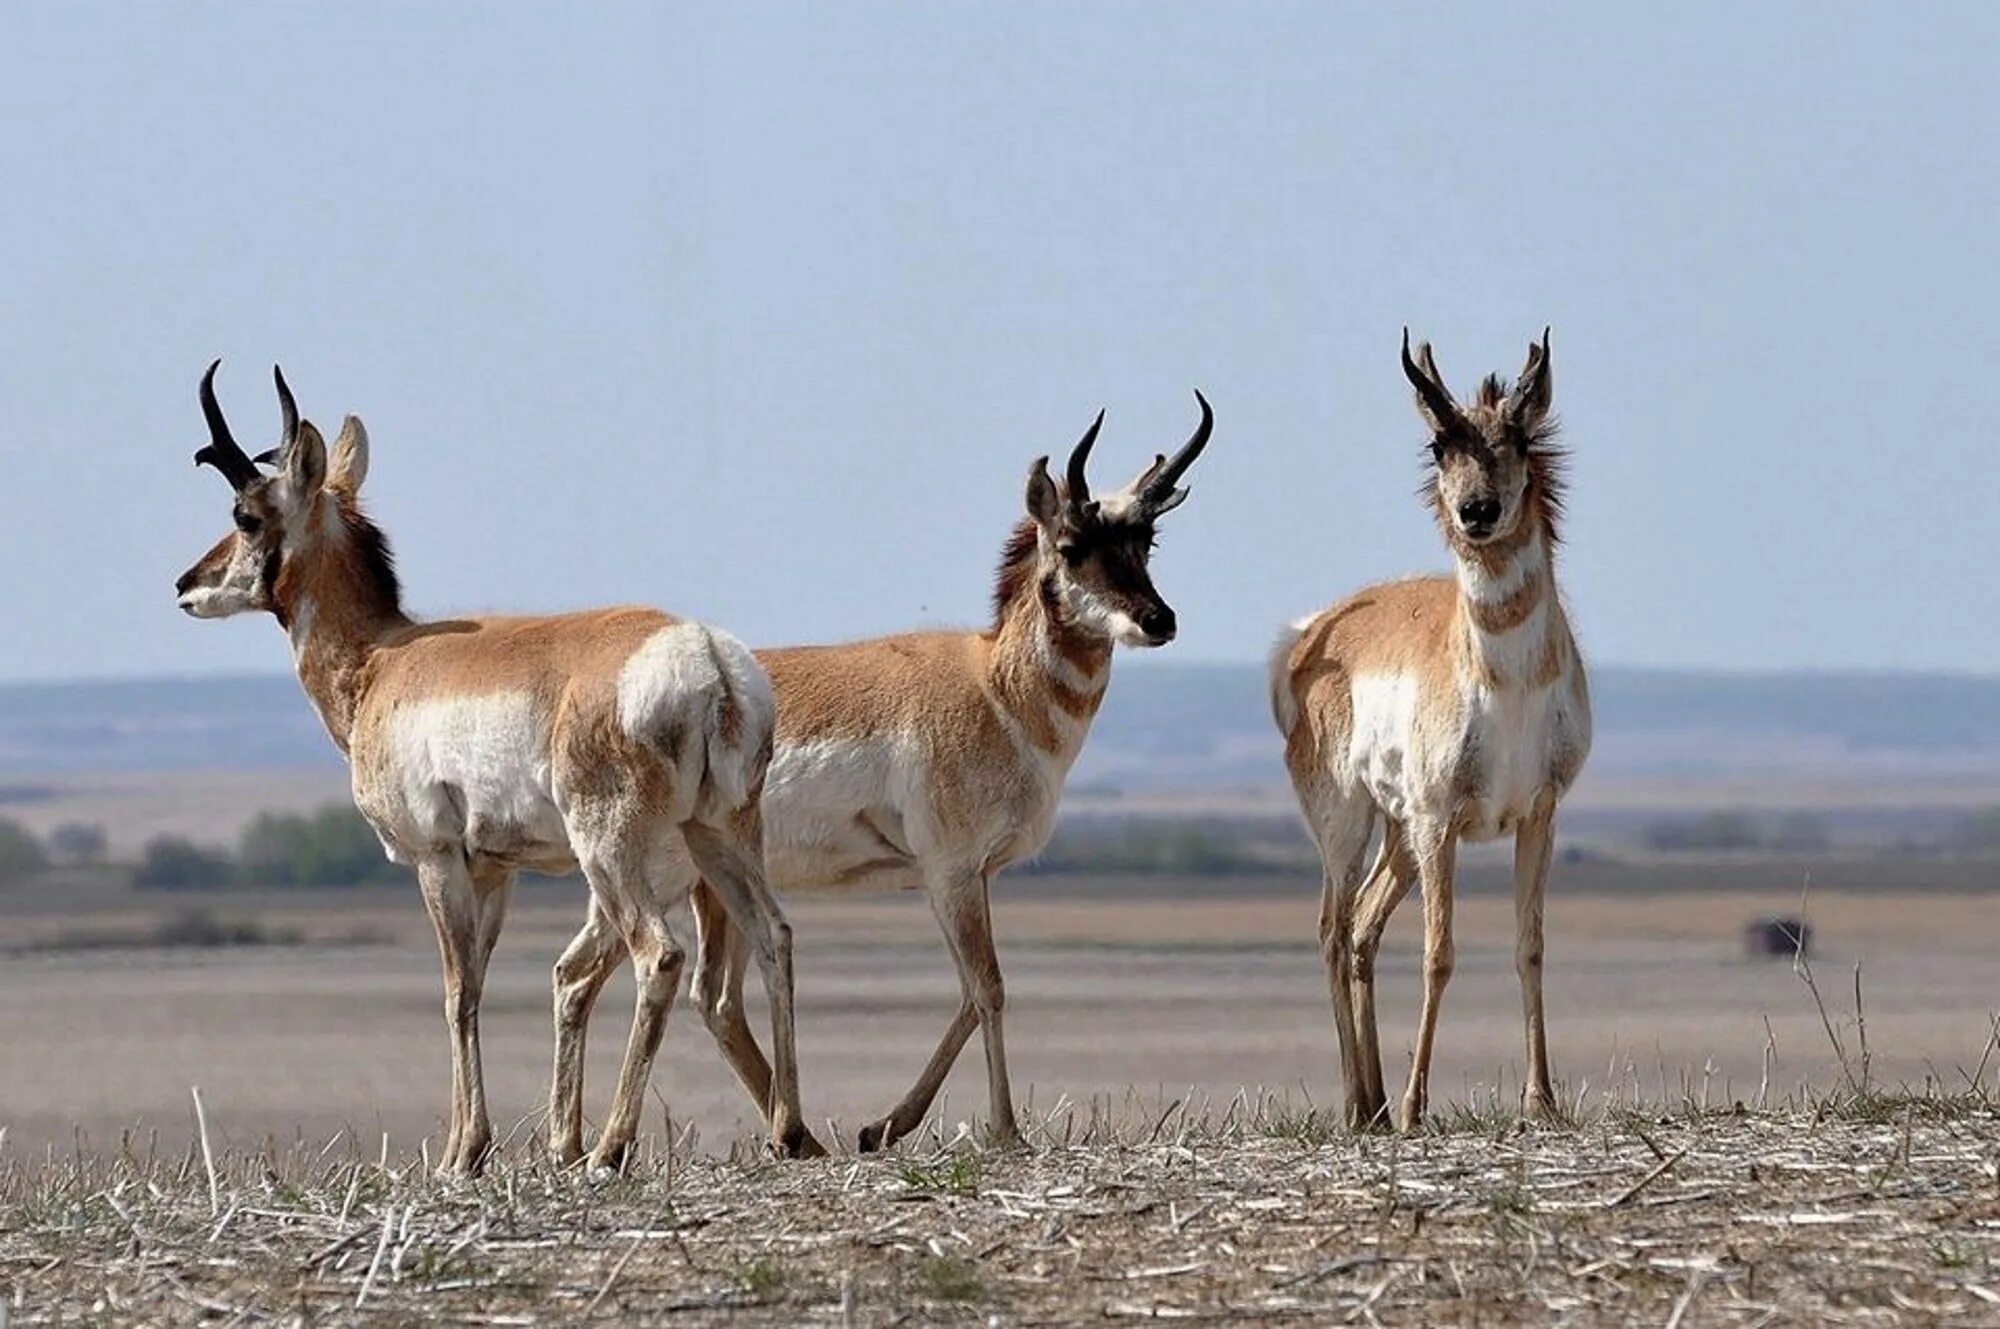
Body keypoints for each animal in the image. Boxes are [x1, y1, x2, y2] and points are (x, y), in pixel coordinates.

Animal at [176, 364, 816, 1176]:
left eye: (247, 513)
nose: (185, 584)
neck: (384, 658)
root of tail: (705, 655)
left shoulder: (437, 859)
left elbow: (456, 992)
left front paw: (462, 1153)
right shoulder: (495, 872)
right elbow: (477, 983)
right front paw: (471, 1147)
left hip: (611, 852)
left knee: (660, 955)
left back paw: (609, 1146)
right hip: (720, 835)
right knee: (775, 934)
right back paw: (786, 1130)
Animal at [540, 394, 1208, 1152]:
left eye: (1145, 543)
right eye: (1071, 546)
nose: (1159, 619)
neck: (992, 686)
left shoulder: (965, 876)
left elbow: (968, 992)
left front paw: (882, 1125)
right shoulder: (951, 871)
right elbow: (989, 986)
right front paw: (1004, 1129)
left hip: (699, 884)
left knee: (662, 989)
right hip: (661, 878)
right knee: (628, 978)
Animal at [1272, 332, 1584, 1128]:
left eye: (1518, 437)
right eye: (1441, 444)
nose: (1477, 510)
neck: (1507, 685)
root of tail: (1310, 633)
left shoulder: (1538, 813)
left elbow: (1530, 946)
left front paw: (1542, 1099)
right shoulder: (1442, 819)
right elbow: (1438, 954)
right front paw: (1419, 1104)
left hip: (1398, 834)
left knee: (1361, 929)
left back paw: (1377, 1101)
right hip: (1350, 825)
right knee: (1332, 930)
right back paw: (1363, 1103)